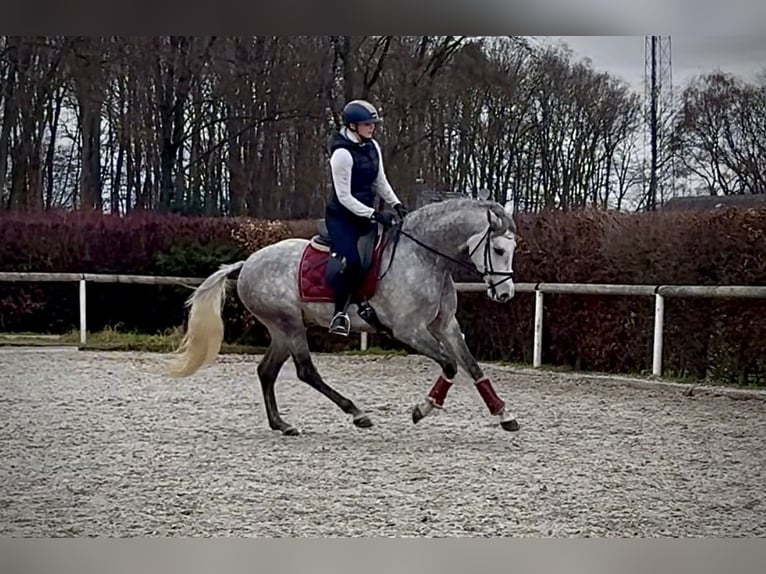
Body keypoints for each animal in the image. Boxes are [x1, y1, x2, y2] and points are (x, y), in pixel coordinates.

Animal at [164, 197, 520, 435]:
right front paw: (424, 408)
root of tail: (248, 262)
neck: (424, 257)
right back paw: (357, 413)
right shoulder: (409, 330)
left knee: (267, 371)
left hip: (282, 329)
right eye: (499, 250)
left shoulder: (445, 326)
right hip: (289, 324)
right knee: (306, 371)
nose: (505, 294)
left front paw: (504, 415)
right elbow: (449, 365)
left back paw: (282, 424)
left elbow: (472, 366)